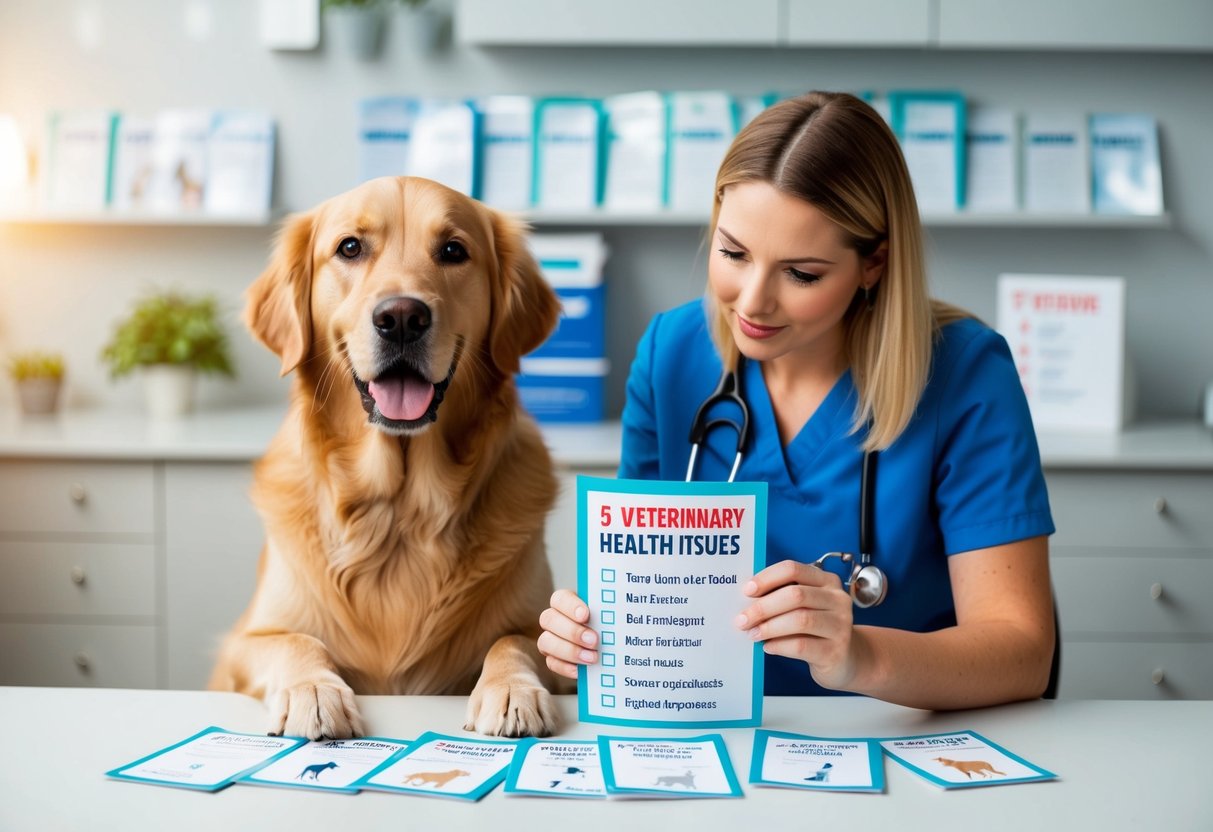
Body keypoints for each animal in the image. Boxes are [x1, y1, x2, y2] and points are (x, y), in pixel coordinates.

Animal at [209, 175, 562, 742]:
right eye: (350, 248)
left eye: (453, 251)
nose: (401, 318)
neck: (399, 515)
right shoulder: (243, 642)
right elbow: (296, 640)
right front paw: (313, 691)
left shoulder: (544, 628)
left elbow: (514, 641)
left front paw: (512, 689)